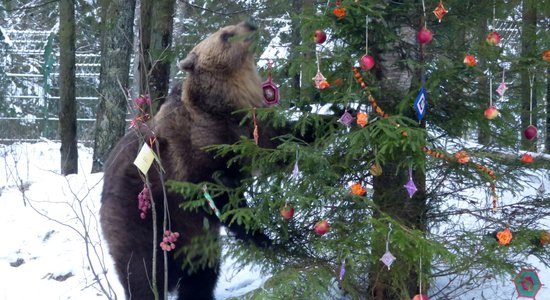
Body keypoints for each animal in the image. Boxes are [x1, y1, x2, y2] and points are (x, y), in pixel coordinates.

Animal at [100, 19, 272, 298]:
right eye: (226, 35)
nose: (250, 24)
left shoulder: (248, 128)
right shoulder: (199, 152)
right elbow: (221, 194)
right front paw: (259, 234)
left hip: (197, 243)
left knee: (202, 275)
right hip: (139, 222)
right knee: (141, 274)